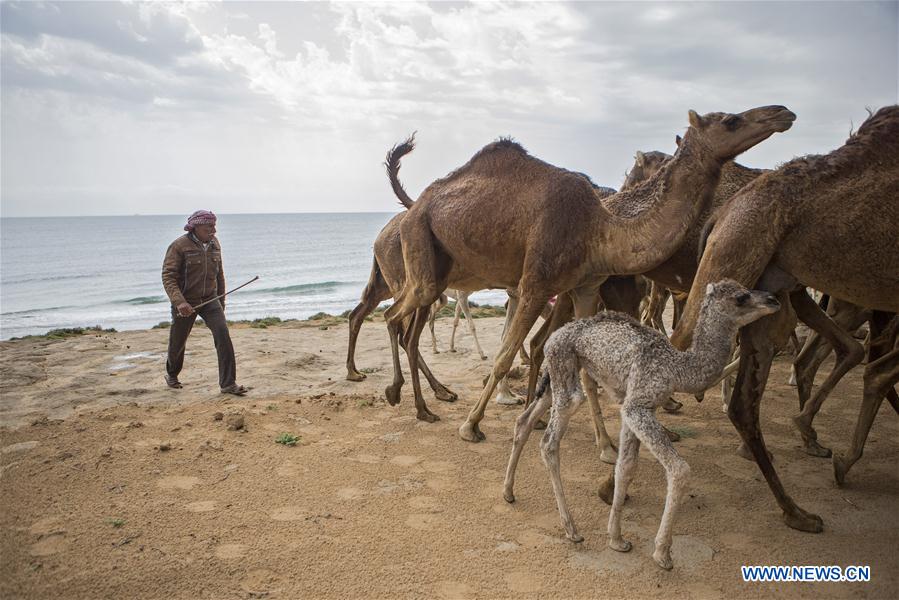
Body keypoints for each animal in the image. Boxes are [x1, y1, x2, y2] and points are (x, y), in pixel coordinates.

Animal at [384, 105, 796, 442]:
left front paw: (606, 446)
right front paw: (471, 426)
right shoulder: (536, 284)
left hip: (441, 269)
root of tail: (417, 204)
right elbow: (503, 356)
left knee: (403, 322)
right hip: (421, 246)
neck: (599, 228)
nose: (783, 112)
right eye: (731, 120)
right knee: (394, 315)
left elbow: (584, 372)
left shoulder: (584, 288)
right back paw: (409, 398)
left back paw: (415, 400)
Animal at [506, 278, 780, 568]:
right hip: (565, 370)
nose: (773, 300)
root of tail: (555, 338)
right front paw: (663, 552)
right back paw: (571, 529)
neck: (677, 369)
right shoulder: (638, 407)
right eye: (741, 297)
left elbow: (625, 467)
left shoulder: (632, 407)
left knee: (524, 420)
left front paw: (617, 539)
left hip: (557, 375)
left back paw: (509, 492)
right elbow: (679, 469)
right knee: (549, 441)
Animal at [668, 105, 899, 532]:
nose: (783, 112)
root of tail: (722, 215)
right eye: (730, 120)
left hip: (765, 292)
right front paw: (844, 459)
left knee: (745, 401)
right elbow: (880, 371)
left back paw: (796, 508)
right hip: (736, 255)